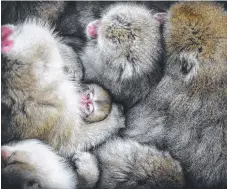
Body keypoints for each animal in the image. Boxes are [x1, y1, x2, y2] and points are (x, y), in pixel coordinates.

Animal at [0, 19, 125, 158]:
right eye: (88, 96)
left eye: (88, 107)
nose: (83, 101)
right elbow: (70, 143)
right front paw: (116, 118)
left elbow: (69, 143)